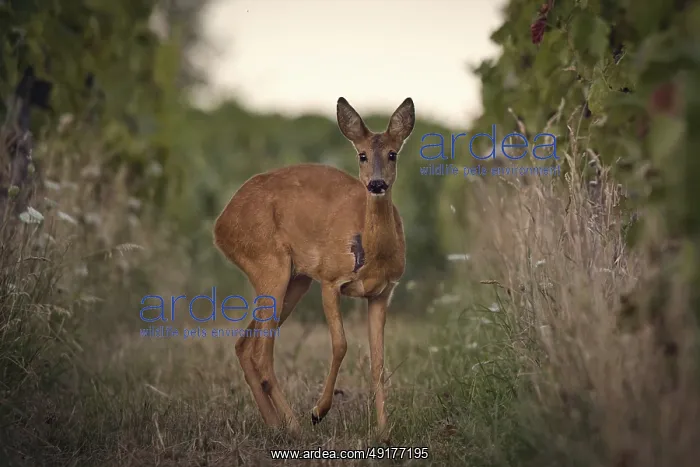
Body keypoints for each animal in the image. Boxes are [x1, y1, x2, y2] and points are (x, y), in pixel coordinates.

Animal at [213, 97, 415, 443]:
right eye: (362, 155)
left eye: (393, 153)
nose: (376, 184)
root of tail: (219, 224)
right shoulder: (330, 280)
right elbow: (341, 344)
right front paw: (319, 411)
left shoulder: (381, 293)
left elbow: (378, 362)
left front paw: (384, 433)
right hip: (270, 265)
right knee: (261, 352)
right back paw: (295, 426)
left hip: (296, 280)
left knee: (244, 345)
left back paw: (275, 425)